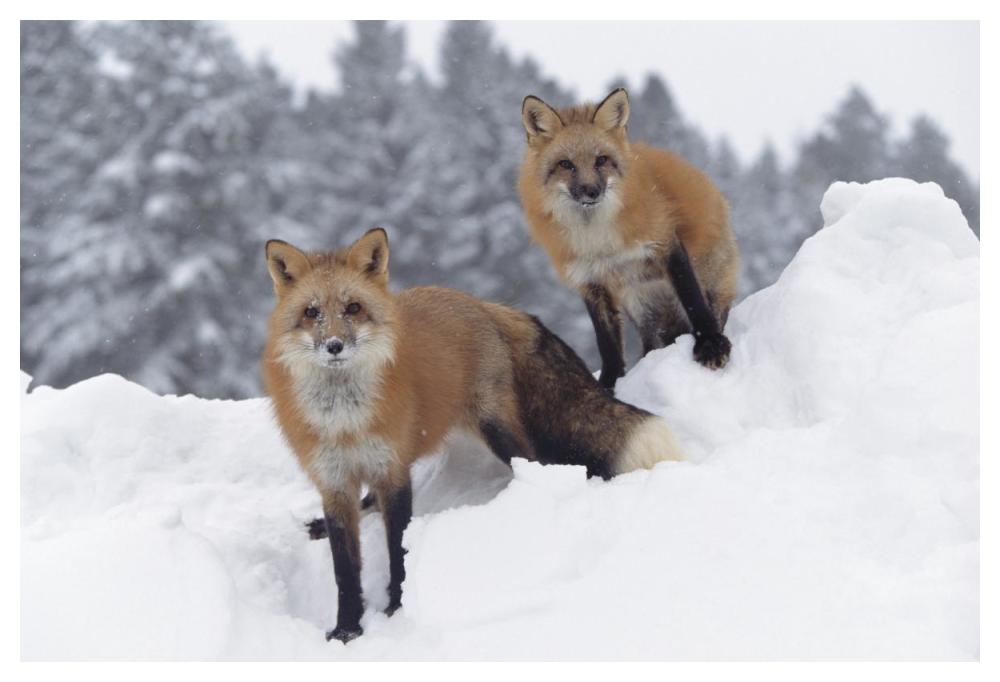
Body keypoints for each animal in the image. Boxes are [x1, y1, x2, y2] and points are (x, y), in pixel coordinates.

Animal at [262, 228, 683, 643]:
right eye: (311, 313)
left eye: (352, 308)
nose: (333, 345)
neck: (345, 422)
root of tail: (481, 303)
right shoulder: (334, 481)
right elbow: (345, 570)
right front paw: (347, 629)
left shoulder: (394, 473)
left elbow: (399, 549)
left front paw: (397, 609)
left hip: (496, 430)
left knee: (538, 465)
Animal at [518, 87, 740, 390]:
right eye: (566, 164)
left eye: (601, 160)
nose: (590, 191)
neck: (597, 239)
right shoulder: (590, 281)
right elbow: (607, 344)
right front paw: (608, 385)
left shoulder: (665, 243)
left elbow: (693, 300)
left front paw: (710, 344)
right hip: (645, 310)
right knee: (652, 344)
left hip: (709, 283)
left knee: (710, 309)